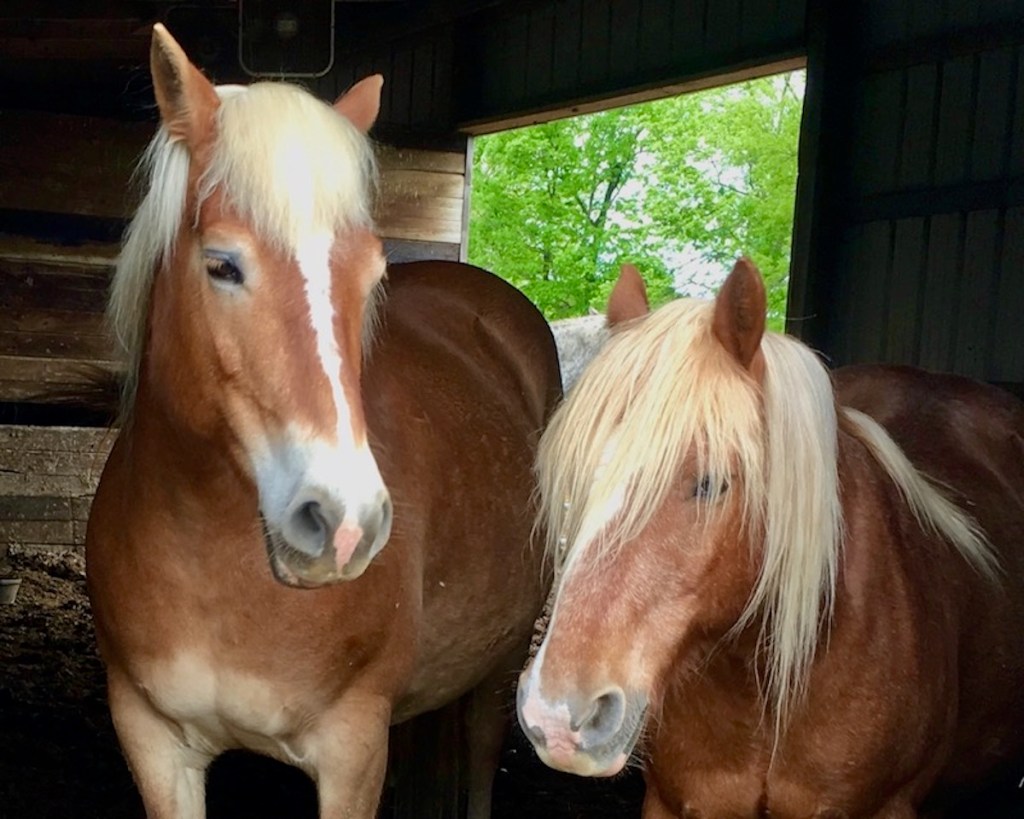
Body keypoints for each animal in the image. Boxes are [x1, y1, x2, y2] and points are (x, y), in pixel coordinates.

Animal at [85, 25, 561, 818]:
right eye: (222, 265)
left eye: (372, 277)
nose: (343, 522)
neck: (210, 558)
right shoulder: (151, 742)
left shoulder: (351, 751)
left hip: (500, 668)